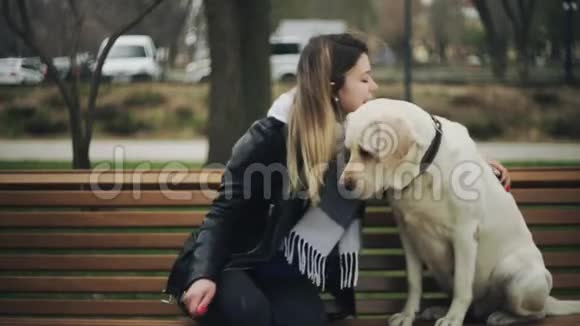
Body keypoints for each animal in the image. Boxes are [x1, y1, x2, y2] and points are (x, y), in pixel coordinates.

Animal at [340, 98, 580, 326]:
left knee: (537, 313)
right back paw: (441, 309)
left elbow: (462, 286)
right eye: (348, 151)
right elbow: (414, 281)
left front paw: (453, 318)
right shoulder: (407, 234)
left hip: (519, 278)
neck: (424, 170)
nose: (345, 184)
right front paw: (407, 314)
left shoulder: (464, 234)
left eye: (366, 152)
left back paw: (502, 316)